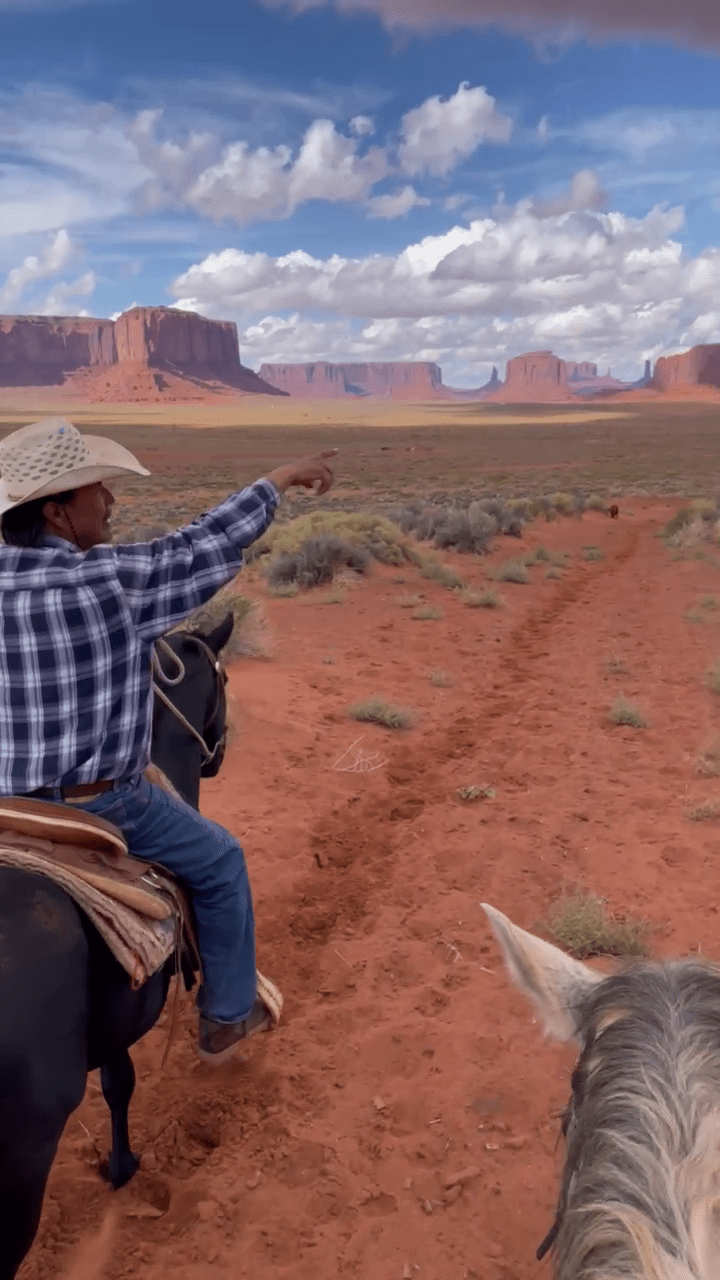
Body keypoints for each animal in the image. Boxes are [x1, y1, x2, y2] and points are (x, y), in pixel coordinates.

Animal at [0, 611, 233, 1280]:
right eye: (225, 679)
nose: (219, 752)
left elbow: (116, 1082)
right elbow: (122, 1084)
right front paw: (125, 1168)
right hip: (21, 1172)